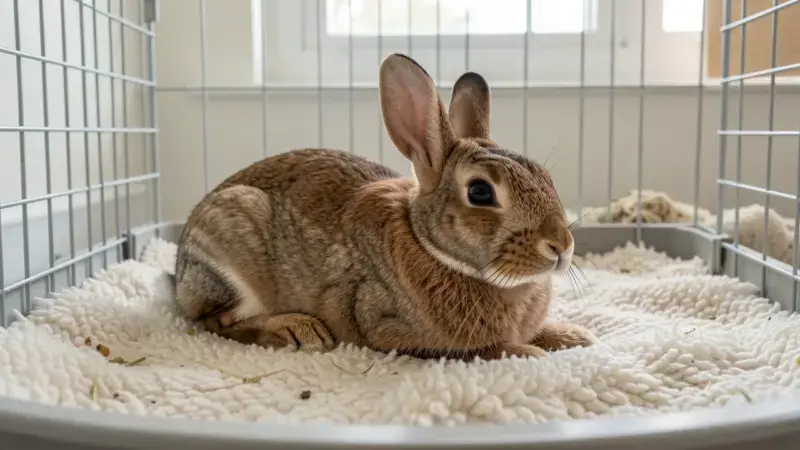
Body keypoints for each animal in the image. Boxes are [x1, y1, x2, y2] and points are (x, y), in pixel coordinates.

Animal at [172, 53, 596, 360]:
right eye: (479, 192)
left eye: (544, 175)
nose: (561, 246)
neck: (431, 247)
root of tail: (178, 273)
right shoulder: (391, 329)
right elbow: (481, 349)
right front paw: (528, 353)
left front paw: (576, 337)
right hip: (227, 243)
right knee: (218, 320)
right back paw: (296, 329)